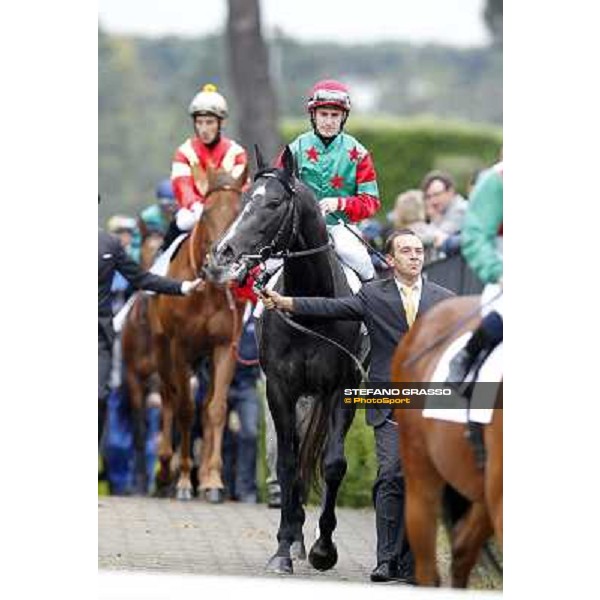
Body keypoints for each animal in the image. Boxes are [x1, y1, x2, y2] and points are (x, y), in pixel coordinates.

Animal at [148, 163, 248, 502]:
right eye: (206, 212)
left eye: (240, 211)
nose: (220, 263)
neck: (208, 292)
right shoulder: (180, 347)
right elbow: (185, 409)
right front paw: (182, 481)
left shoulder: (224, 346)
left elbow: (215, 409)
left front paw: (213, 480)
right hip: (163, 350)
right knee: (169, 398)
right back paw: (165, 471)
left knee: (205, 406)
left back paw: (202, 476)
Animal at [211, 146, 360, 576]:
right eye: (246, 199)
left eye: (273, 203)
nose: (224, 252)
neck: (310, 307)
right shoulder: (280, 388)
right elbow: (288, 463)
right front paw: (283, 547)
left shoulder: (340, 389)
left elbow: (333, 464)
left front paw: (324, 549)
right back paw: (293, 539)